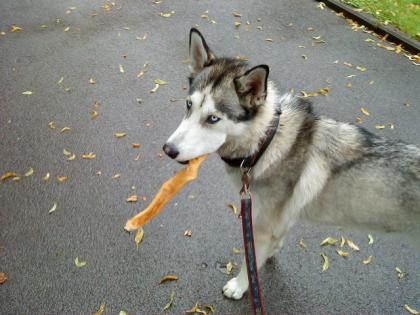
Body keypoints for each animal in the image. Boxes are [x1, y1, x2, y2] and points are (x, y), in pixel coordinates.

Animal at [163, 29, 420, 302]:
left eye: (213, 118)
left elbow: (249, 260)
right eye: (189, 105)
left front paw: (240, 285)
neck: (266, 141)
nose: (168, 149)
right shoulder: (280, 218)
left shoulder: (261, 226)